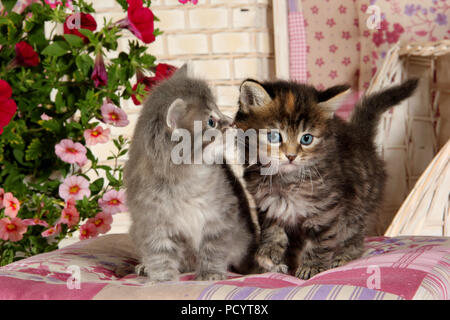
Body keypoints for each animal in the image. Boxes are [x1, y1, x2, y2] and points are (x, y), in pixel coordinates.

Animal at [124, 66, 256, 282]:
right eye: (211, 121)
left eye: (219, 110)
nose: (233, 123)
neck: (185, 180)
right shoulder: (152, 221)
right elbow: (160, 253)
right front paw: (163, 279)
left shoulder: (221, 215)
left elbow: (213, 248)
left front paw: (211, 274)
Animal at [234, 77, 420, 278]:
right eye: (274, 136)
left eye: (306, 139)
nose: (291, 156)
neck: (286, 180)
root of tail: (362, 138)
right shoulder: (268, 206)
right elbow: (272, 231)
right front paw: (269, 255)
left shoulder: (326, 210)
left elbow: (320, 242)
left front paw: (311, 267)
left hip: (358, 208)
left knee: (354, 237)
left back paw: (344, 257)